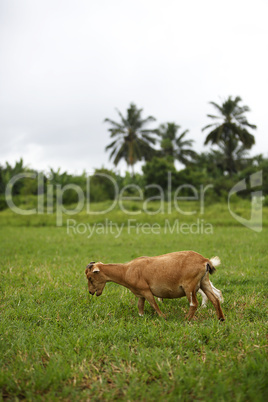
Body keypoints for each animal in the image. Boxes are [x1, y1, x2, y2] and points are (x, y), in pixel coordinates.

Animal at [85, 251, 225, 320]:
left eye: (90, 277)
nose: (91, 292)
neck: (126, 270)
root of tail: (205, 261)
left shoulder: (146, 290)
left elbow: (153, 304)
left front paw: (164, 317)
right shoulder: (140, 293)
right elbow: (140, 306)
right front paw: (141, 317)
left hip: (189, 286)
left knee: (193, 303)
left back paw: (187, 319)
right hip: (204, 282)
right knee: (215, 299)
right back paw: (221, 318)